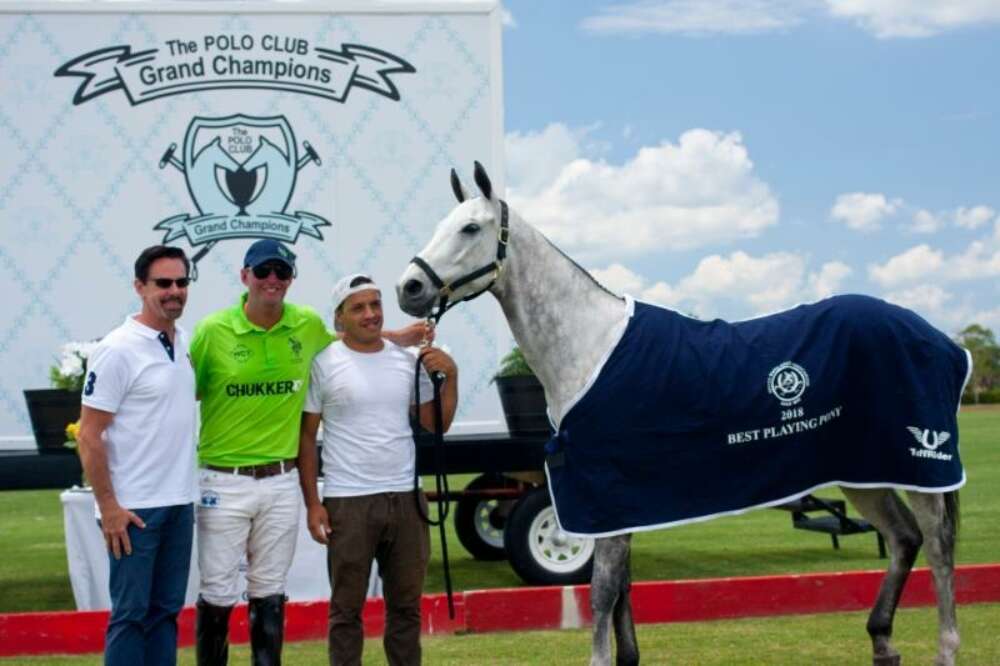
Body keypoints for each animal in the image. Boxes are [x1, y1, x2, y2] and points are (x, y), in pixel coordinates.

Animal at [394, 162, 964, 664]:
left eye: (470, 227)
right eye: (441, 225)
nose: (409, 289)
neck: (589, 346)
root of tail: (938, 339)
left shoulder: (604, 498)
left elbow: (602, 594)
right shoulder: (616, 504)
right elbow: (622, 594)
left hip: (917, 465)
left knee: (937, 549)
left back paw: (944, 647)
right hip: (864, 474)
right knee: (904, 539)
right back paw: (882, 641)